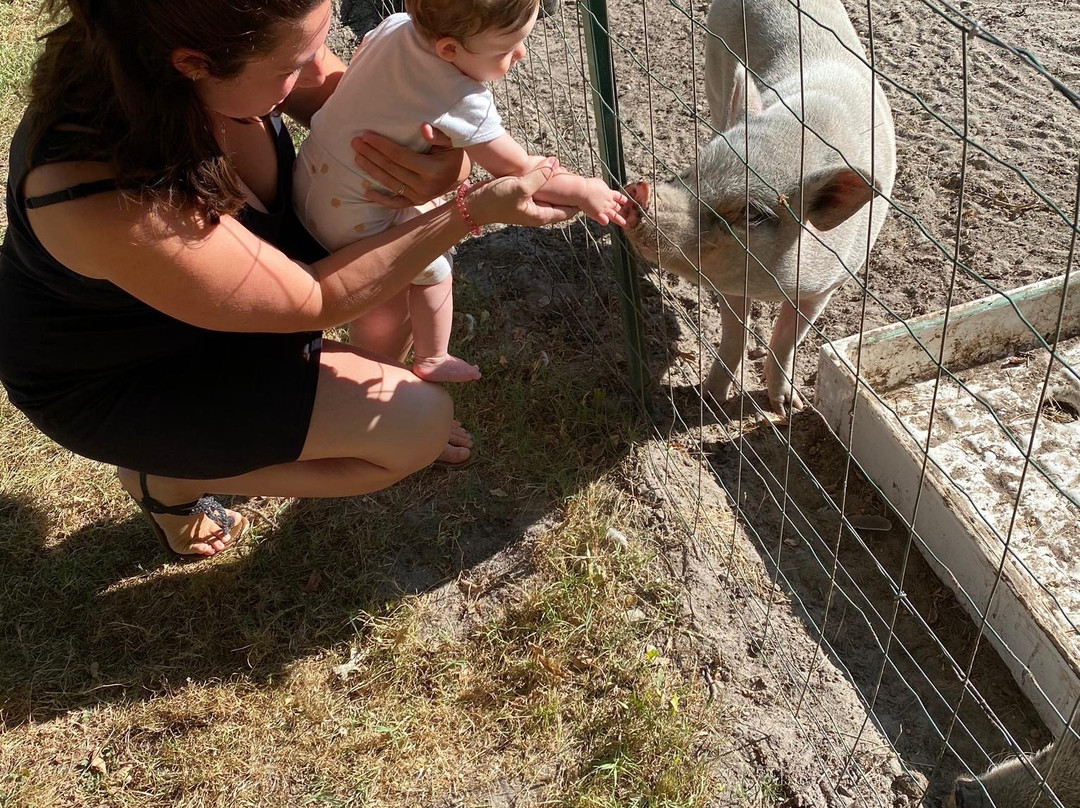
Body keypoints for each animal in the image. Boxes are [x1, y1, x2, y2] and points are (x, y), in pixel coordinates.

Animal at [622, 0, 898, 416]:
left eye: (752, 214)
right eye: (693, 171)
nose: (638, 193)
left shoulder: (828, 284)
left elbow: (787, 337)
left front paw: (787, 408)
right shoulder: (728, 281)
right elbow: (734, 332)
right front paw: (709, 399)